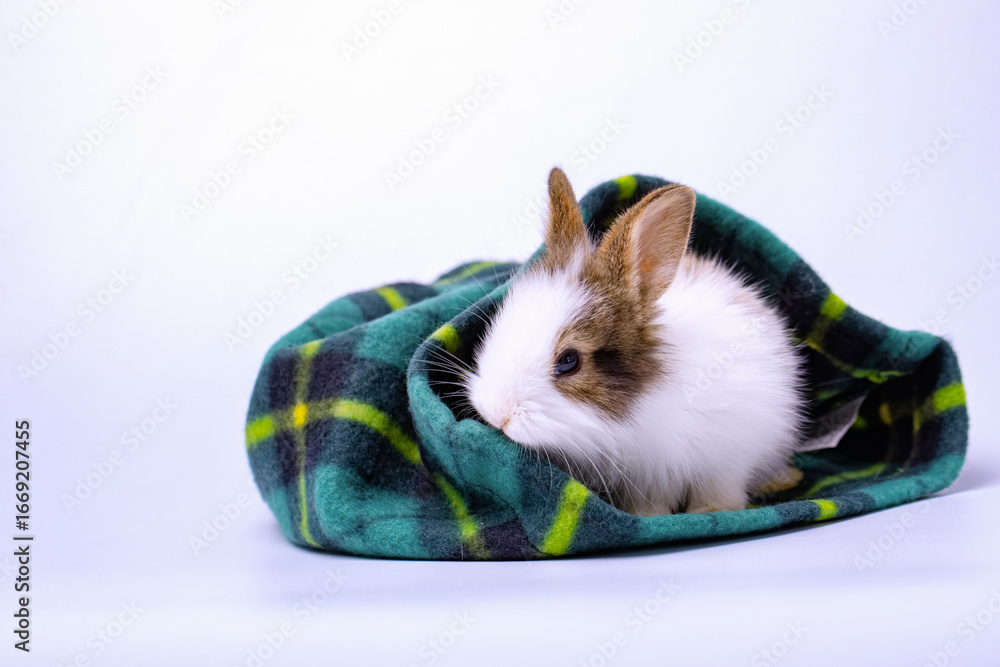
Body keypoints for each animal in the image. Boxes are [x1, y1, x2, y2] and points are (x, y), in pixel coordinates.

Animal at [464, 167, 806, 516]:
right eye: (499, 322)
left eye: (569, 361)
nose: (497, 414)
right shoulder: (644, 484)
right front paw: (648, 517)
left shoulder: (727, 460)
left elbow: (720, 493)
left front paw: (710, 512)